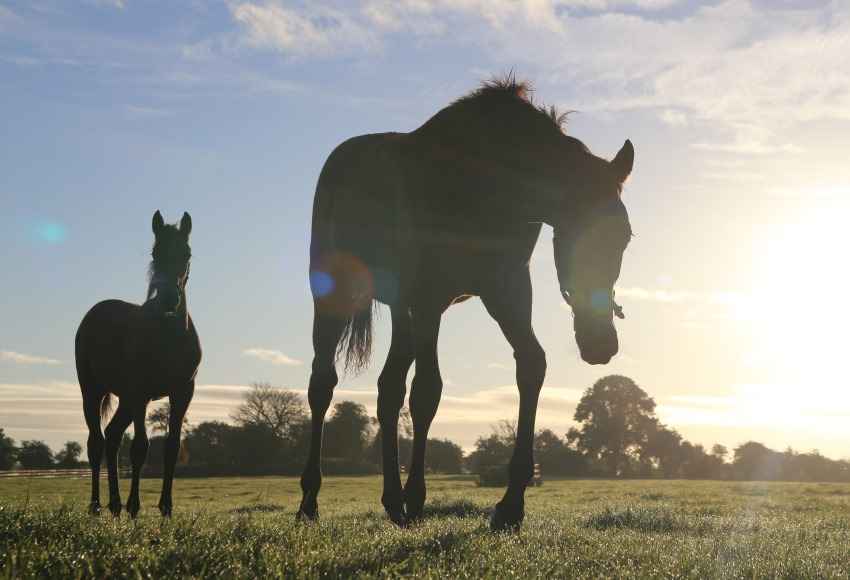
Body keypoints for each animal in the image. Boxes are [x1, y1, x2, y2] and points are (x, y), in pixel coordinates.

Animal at [76, 211, 200, 520]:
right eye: (155, 252)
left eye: (187, 253)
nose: (169, 299)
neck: (168, 336)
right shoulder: (141, 392)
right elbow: (140, 448)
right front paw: (135, 507)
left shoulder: (183, 392)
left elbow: (171, 447)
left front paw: (166, 508)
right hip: (93, 390)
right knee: (96, 442)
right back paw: (97, 506)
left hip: (126, 400)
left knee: (112, 437)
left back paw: (115, 505)